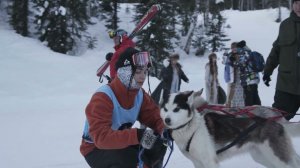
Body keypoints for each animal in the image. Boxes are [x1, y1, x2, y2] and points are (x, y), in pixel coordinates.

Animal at [161, 89, 300, 168]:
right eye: (165, 109)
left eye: (176, 109)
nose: (166, 120)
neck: (190, 128)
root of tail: (275, 118)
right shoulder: (198, 163)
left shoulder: (210, 162)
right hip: (262, 156)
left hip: (277, 157)